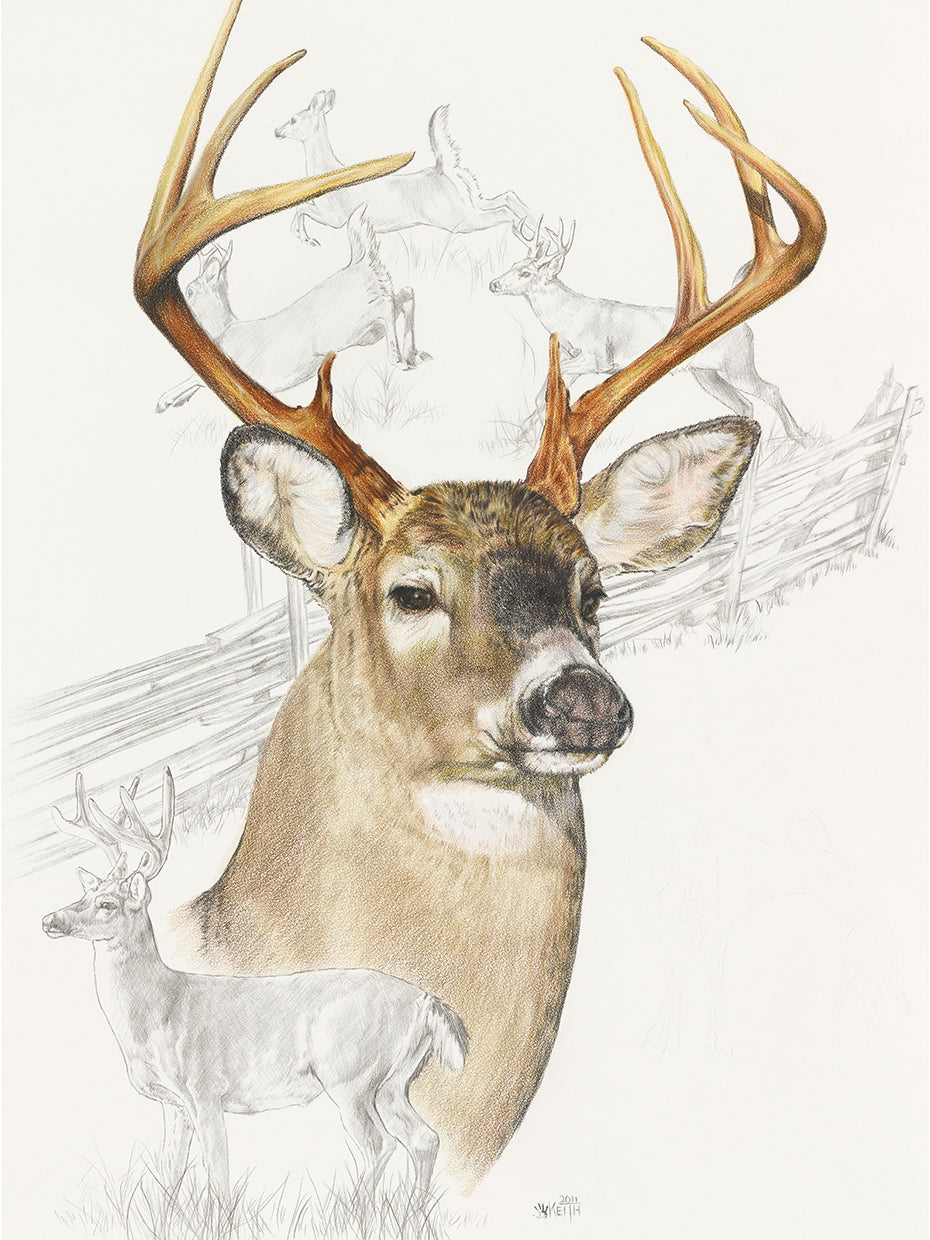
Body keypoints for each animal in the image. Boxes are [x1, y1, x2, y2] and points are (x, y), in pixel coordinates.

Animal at [42, 771, 468, 1199]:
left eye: (108, 903)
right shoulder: (173, 1104)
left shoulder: (204, 1089)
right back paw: (411, 1208)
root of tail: (426, 1001)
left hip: (350, 1076)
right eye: (84, 893)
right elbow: (170, 1171)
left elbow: (218, 1172)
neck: (160, 1012)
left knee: (380, 1145)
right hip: (393, 1082)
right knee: (424, 1138)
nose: (49, 920)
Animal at [156, 205, 429, 413]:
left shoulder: (234, 367)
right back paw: (415, 354)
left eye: (190, 291)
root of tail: (361, 262)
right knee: (405, 294)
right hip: (367, 329)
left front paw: (164, 401)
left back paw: (399, 360)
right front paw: (175, 401)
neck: (225, 329)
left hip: (352, 325)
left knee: (388, 307)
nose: (183, 302)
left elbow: (195, 378)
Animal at [275, 90, 536, 243]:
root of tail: (443, 169)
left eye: (293, 119)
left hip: (458, 218)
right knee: (508, 197)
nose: (276, 130)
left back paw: (527, 236)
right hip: (470, 200)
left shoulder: (336, 217)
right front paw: (305, 237)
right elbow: (301, 208)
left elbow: (302, 209)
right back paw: (537, 231)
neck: (327, 171)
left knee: (503, 212)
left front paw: (305, 237)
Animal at [490, 218, 809, 445]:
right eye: (514, 264)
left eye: (526, 273)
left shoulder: (598, 357)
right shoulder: (574, 357)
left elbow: (548, 384)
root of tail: (744, 325)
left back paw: (798, 435)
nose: (494, 283)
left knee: (770, 389)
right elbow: (544, 390)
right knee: (743, 403)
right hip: (706, 374)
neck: (569, 317)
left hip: (738, 364)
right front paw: (521, 436)